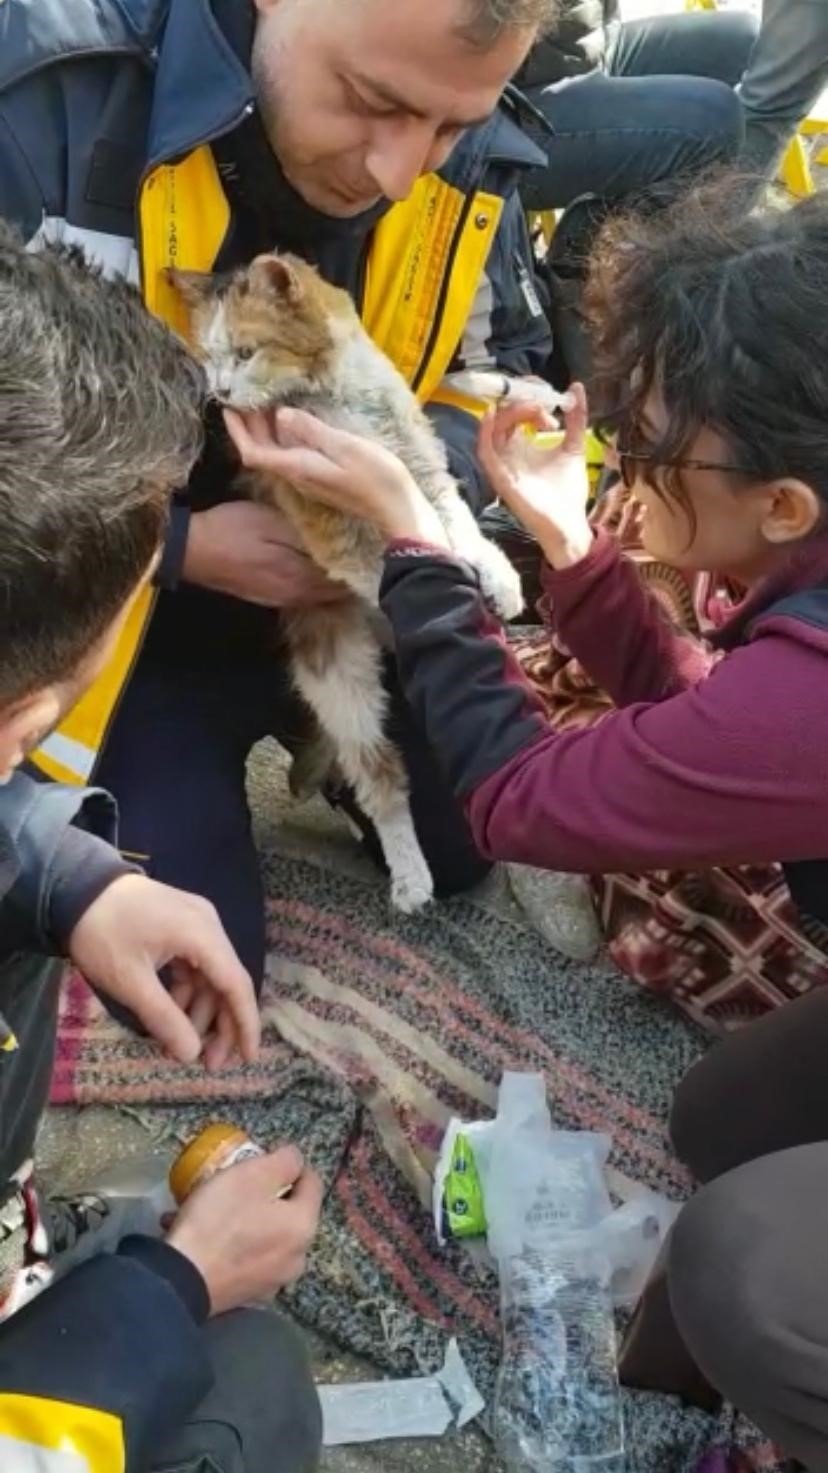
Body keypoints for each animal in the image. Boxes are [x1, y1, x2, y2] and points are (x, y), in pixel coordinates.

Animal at [167, 259, 521, 913]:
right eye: (211, 356)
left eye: (247, 352)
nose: (219, 395)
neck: (333, 400)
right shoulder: (328, 524)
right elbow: (394, 559)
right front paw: (447, 596)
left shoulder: (419, 463)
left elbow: (451, 518)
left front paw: (497, 576)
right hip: (343, 686)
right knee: (382, 778)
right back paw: (411, 880)